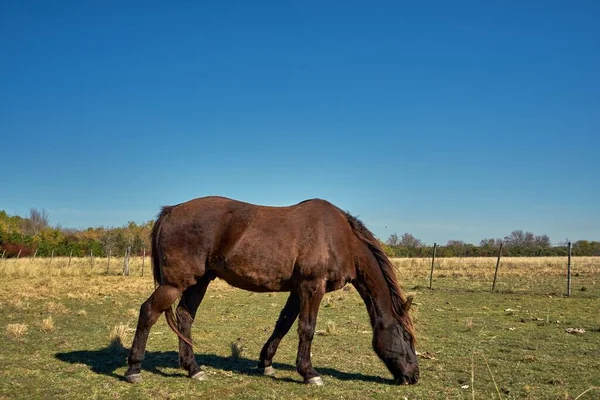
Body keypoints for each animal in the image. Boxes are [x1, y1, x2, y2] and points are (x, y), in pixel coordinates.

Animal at [125, 196, 420, 384]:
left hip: (199, 282)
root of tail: (170, 211)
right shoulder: (313, 286)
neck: (339, 238)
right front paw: (309, 373)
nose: (414, 376)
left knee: (185, 318)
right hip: (175, 284)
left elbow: (284, 324)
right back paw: (133, 368)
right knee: (148, 312)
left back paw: (193, 369)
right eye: (406, 338)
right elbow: (307, 328)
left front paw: (266, 363)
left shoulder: (298, 290)